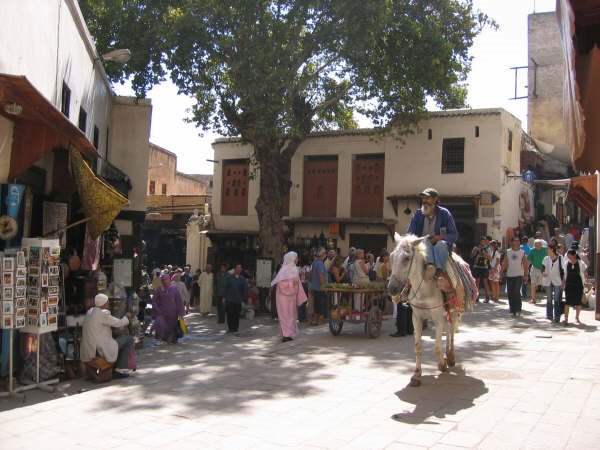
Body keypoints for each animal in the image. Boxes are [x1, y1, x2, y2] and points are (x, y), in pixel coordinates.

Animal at [386, 234, 458, 384]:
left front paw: (442, 364)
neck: (425, 287)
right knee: (448, 331)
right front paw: (417, 374)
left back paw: (451, 357)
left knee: (452, 332)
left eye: (407, 258)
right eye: (391, 256)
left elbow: (437, 347)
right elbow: (418, 346)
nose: (392, 289)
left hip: (453, 310)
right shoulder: (417, 317)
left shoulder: (437, 318)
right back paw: (448, 355)